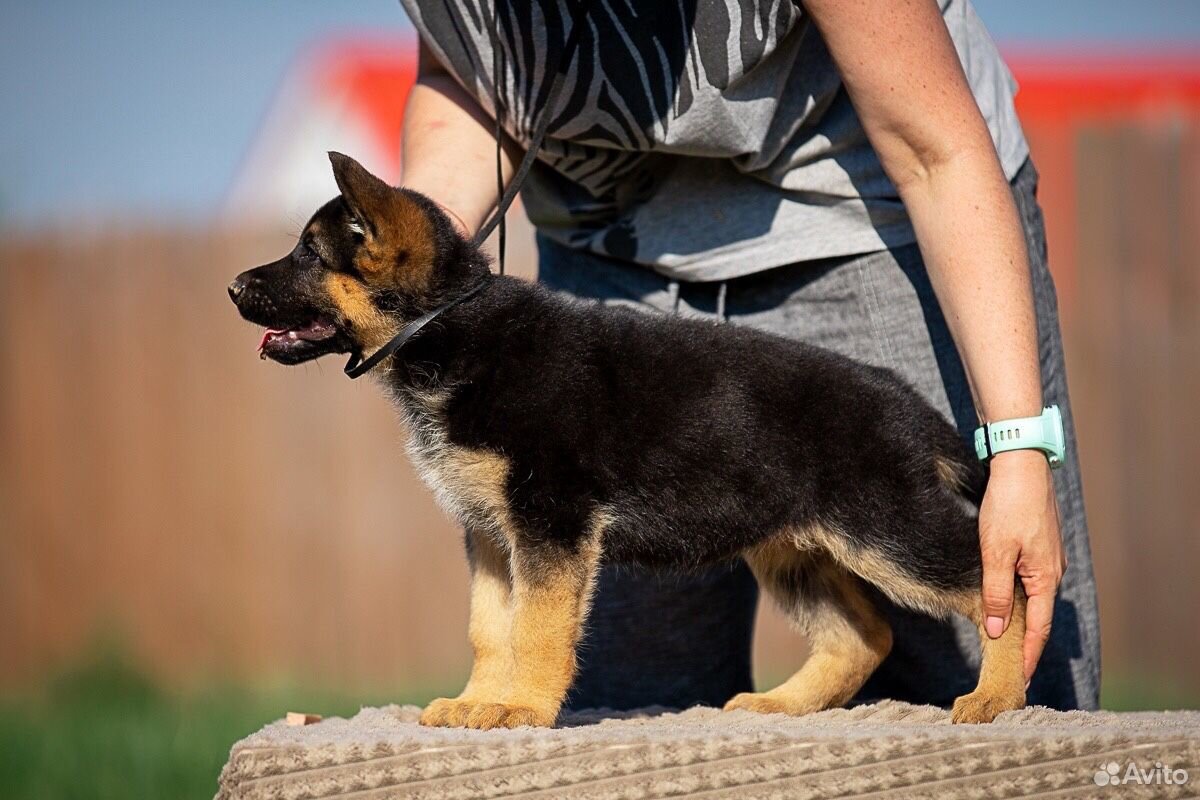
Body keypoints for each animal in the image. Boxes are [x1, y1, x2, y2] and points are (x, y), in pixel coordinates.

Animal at [229, 151, 1027, 734]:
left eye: (308, 254)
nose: (234, 287)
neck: (447, 328)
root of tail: (901, 398)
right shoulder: (490, 533)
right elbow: (492, 627)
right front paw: (480, 702)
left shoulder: (550, 523)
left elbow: (538, 627)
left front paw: (522, 708)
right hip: (793, 549)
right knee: (862, 635)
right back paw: (783, 705)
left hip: (886, 530)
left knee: (998, 584)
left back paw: (998, 696)